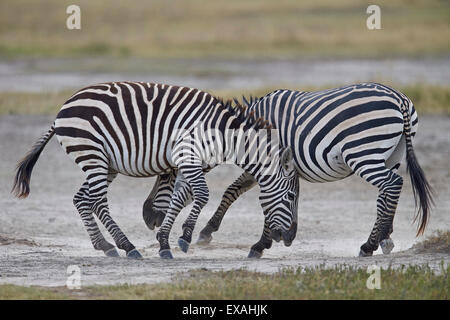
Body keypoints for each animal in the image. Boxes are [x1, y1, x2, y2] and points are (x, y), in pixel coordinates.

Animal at [11, 81, 298, 258]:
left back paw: (104, 245)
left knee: (82, 199)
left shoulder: (187, 162)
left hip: (104, 162)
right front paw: (184, 237)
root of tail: (63, 107)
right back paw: (127, 246)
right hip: (92, 155)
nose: (289, 238)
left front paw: (164, 242)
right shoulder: (188, 156)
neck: (221, 134)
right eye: (291, 197)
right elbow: (201, 195)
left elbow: (178, 198)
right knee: (98, 201)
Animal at [142, 82, 434, 258]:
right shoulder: (278, 167)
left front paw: (260, 243)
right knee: (388, 191)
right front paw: (281, 235)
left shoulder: (268, 164)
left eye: (164, 175)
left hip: (363, 153)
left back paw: (369, 244)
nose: (148, 218)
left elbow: (254, 196)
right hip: (391, 154)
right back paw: (384, 237)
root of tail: (400, 99)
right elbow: (250, 193)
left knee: (391, 185)